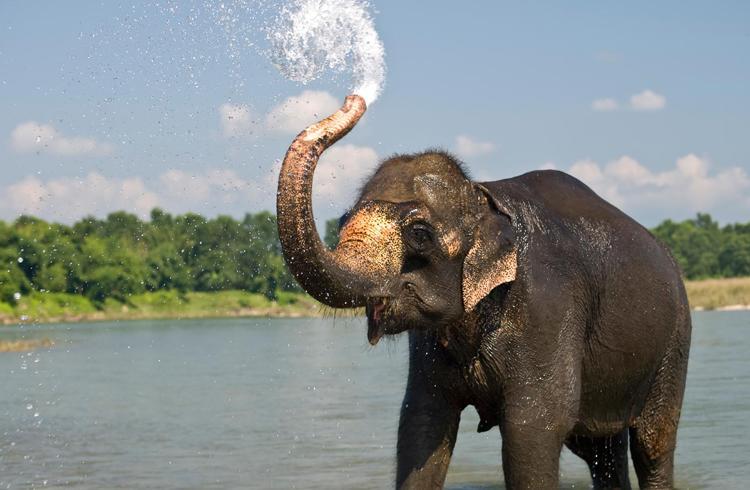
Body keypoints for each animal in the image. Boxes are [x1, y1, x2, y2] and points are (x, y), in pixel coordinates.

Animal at [276, 94, 692, 488]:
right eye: (343, 220)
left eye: (419, 234)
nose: (354, 99)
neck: (484, 197)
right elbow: (421, 423)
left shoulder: (548, 307)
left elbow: (533, 429)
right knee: (599, 450)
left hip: (675, 342)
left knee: (652, 444)